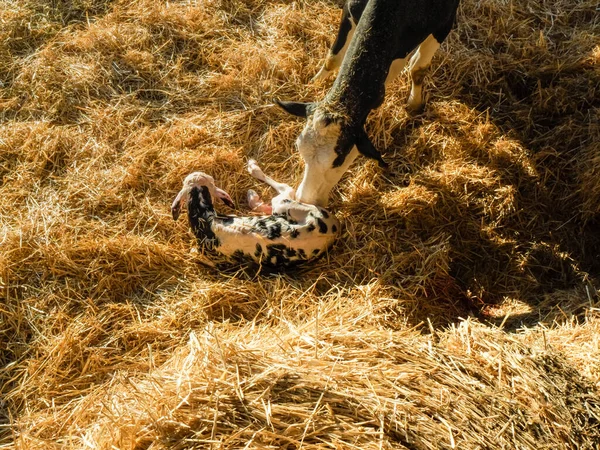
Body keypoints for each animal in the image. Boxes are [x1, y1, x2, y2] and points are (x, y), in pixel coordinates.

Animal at [276, 0, 460, 207]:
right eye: (299, 147)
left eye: (338, 160)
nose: (304, 200)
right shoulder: (350, 10)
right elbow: (333, 58)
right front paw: (313, 83)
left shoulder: (445, 22)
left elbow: (418, 68)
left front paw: (414, 104)